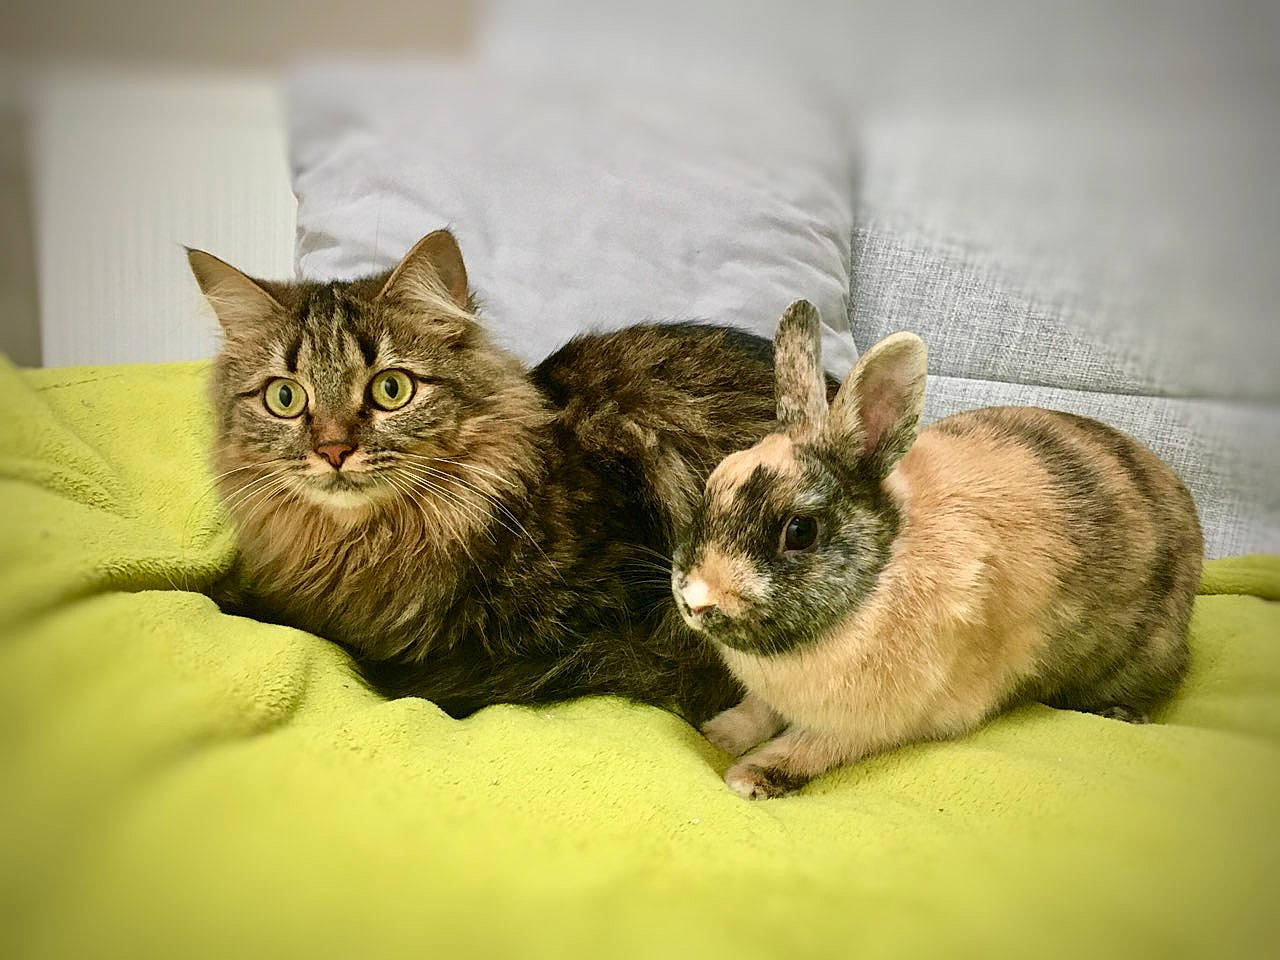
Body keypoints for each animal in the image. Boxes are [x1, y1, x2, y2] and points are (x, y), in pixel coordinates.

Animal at [671, 300, 1203, 799]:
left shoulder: (871, 721)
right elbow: (756, 713)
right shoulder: (771, 697)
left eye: (800, 531)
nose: (696, 600)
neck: (878, 577)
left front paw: (751, 776)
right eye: (711, 487)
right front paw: (718, 734)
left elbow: (810, 747)